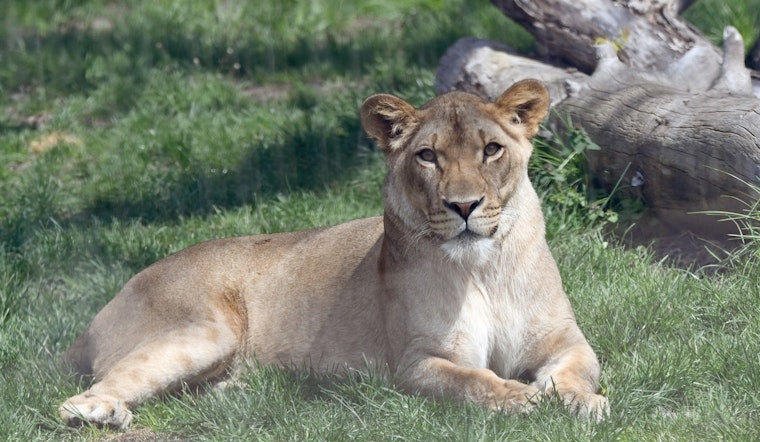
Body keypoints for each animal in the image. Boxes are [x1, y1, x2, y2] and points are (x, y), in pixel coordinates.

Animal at [59, 79, 608, 429]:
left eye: (491, 149)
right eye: (427, 156)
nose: (464, 205)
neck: (482, 268)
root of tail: (103, 310)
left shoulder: (565, 340)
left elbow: (578, 372)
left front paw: (587, 404)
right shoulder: (417, 362)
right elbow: (473, 381)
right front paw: (518, 396)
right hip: (206, 331)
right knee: (83, 395)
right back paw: (103, 414)